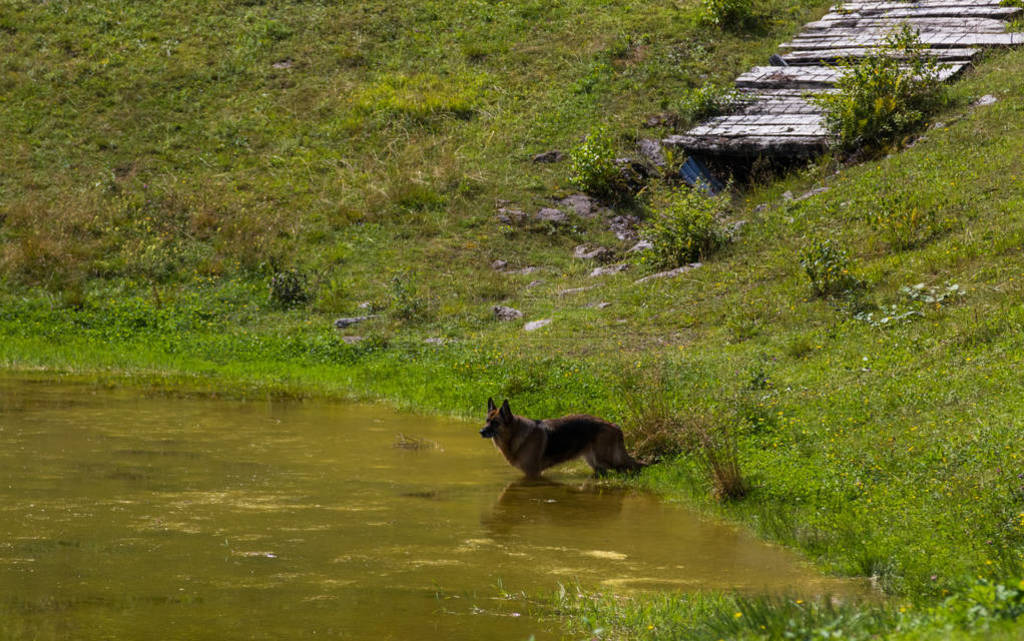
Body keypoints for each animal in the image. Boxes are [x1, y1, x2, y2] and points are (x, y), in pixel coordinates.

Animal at [477, 397, 638, 477]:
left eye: (495, 423)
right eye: (486, 420)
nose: (481, 431)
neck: (515, 434)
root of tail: (614, 425)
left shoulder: (532, 473)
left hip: (607, 460)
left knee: (629, 467)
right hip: (595, 463)